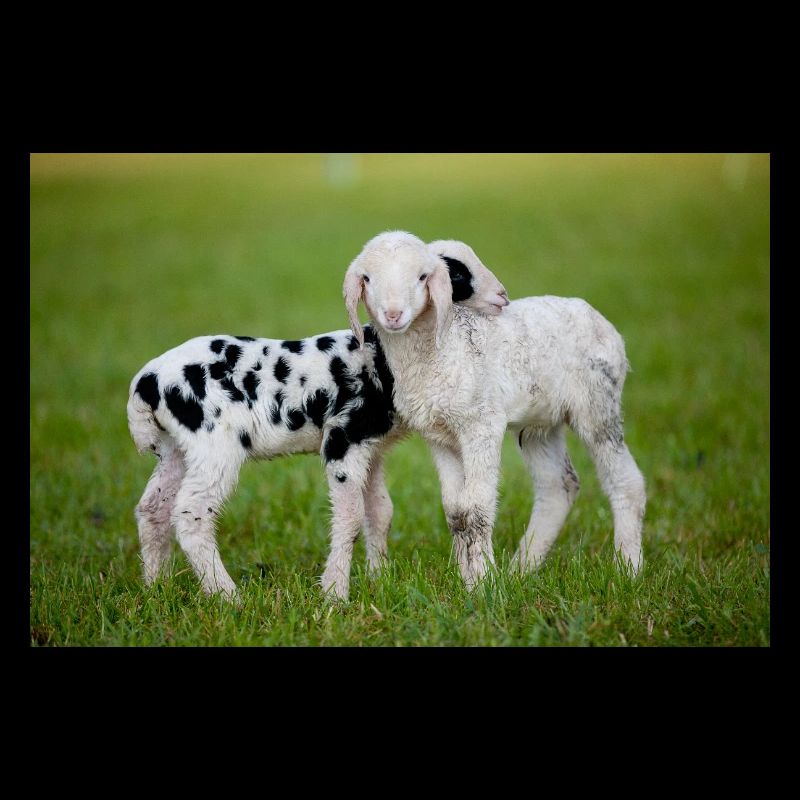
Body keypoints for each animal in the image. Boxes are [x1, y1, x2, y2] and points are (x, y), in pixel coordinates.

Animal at [127, 241, 509, 601]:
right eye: (454, 272)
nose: (502, 296)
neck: (382, 356)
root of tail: (147, 382)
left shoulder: (371, 446)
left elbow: (379, 512)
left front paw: (379, 579)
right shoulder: (344, 436)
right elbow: (350, 518)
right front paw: (335, 594)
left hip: (176, 448)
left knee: (152, 509)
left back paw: (155, 588)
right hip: (214, 445)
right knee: (191, 514)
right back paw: (228, 596)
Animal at [343, 231, 646, 589]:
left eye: (422, 276)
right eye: (367, 278)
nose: (393, 315)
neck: (445, 345)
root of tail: (598, 318)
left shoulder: (482, 424)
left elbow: (475, 508)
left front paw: (483, 583)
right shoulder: (439, 435)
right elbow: (456, 511)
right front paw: (467, 578)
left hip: (598, 404)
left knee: (626, 482)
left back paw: (628, 568)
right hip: (540, 424)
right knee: (558, 486)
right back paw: (522, 569)